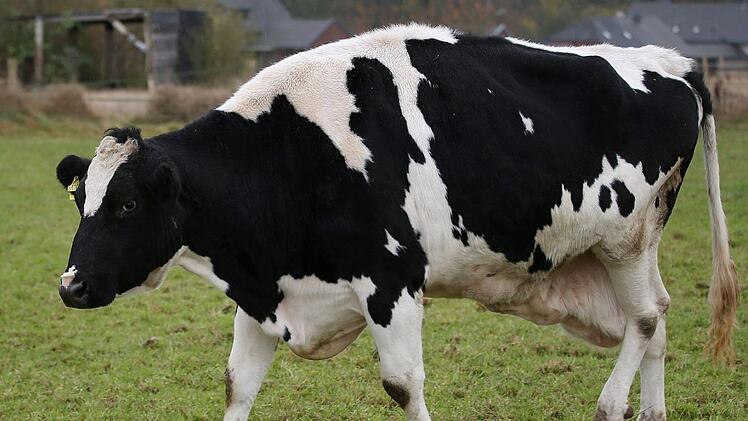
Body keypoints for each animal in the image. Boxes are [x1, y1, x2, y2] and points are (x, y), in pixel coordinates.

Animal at [55, 24, 739, 421]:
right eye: (81, 199)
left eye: (127, 205)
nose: (71, 286)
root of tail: (674, 63)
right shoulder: (264, 291)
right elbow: (237, 386)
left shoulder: (393, 282)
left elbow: (403, 385)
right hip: (615, 249)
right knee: (656, 320)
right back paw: (651, 412)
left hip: (626, 236)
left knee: (645, 317)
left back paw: (611, 404)